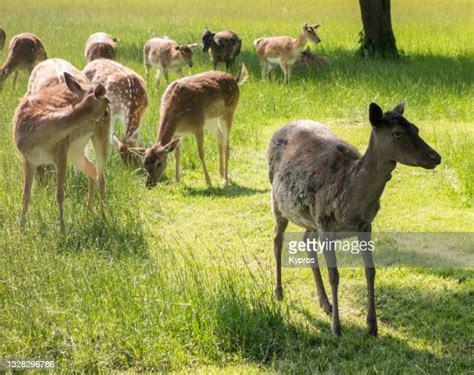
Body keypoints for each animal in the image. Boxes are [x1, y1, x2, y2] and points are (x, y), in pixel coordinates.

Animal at [12, 58, 111, 231]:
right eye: (104, 109)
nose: (107, 114)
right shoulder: (28, 158)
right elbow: (25, 195)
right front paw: (21, 228)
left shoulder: (61, 152)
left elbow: (59, 194)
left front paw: (63, 229)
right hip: (76, 149)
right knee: (92, 170)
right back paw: (88, 214)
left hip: (97, 140)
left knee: (101, 176)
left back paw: (104, 218)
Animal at [268, 102, 442, 338]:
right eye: (397, 133)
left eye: (416, 128)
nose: (435, 157)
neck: (348, 198)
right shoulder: (326, 224)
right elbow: (334, 275)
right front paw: (336, 328)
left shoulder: (365, 225)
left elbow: (371, 270)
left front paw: (372, 326)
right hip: (278, 200)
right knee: (277, 239)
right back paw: (278, 292)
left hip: (310, 219)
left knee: (306, 240)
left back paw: (325, 303)